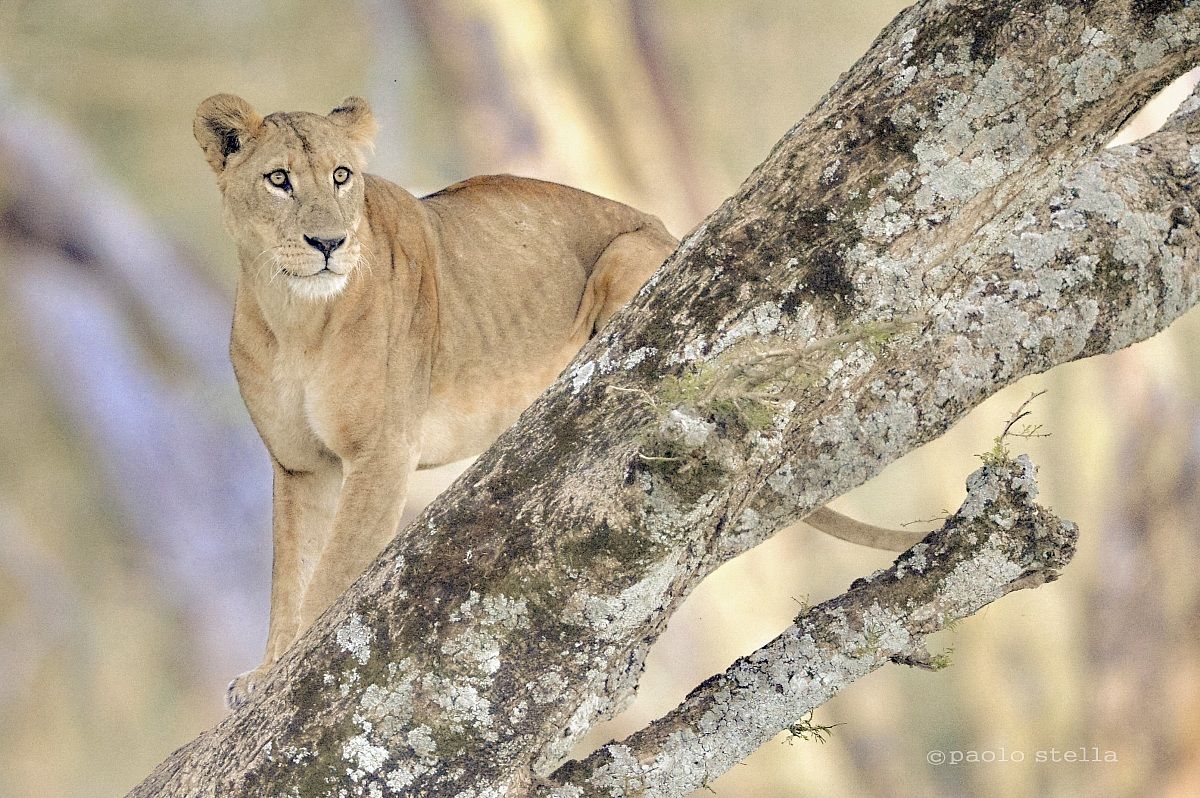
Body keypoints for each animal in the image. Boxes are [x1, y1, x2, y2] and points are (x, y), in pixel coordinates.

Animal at [194, 94, 924, 708]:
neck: (296, 319)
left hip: (630, 258)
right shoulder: (301, 466)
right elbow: (290, 575)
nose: (329, 243)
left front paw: (282, 681)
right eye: (279, 180)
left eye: (342, 175)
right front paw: (266, 671)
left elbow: (329, 575)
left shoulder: (382, 452)